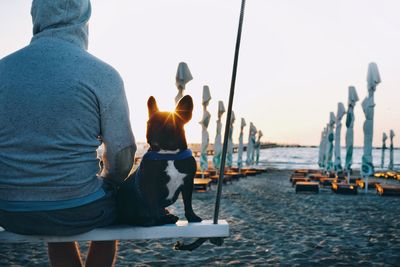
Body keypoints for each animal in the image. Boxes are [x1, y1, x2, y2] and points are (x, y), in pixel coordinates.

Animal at [117, 96, 202, 226]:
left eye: (169, 125)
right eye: (149, 123)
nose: (153, 132)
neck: (169, 154)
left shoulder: (188, 182)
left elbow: (188, 203)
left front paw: (192, 216)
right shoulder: (150, 185)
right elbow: (154, 205)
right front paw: (160, 220)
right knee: (131, 217)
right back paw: (150, 220)